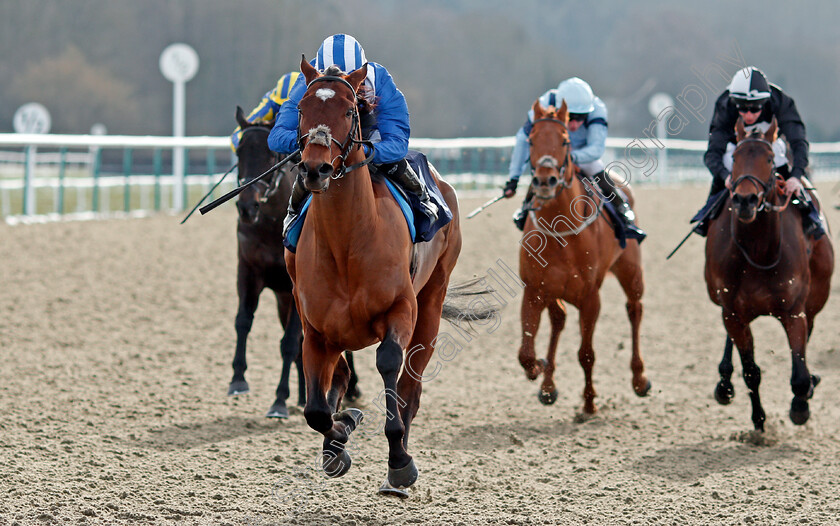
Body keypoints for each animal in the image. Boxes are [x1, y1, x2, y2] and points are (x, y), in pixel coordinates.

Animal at [230, 108, 360, 420]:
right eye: (239, 151)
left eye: (270, 154)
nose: (247, 207)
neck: (270, 224)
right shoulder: (248, 270)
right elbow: (243, 321)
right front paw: (238, 380)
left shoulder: (296, 286)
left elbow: (290, 343)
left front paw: (278, 400)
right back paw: (305, 392)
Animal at [286, 58, 486, 500]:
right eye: (303, 109)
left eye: (349, 111)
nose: (315, 169)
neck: (346, 242)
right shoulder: (316, 330)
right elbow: (316, 410)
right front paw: (340, 434)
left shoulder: (400, 308)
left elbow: (389, 362)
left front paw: (399, 461)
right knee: (341, 378)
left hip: (431, 301)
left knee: (412, 385)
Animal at [520, 101, 648, 418]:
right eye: (531, 140)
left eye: (565, 140)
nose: (545, 180)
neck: (559, 233)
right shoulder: (534, 290)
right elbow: (526, 354)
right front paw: (540, 370)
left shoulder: (591, 297)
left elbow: (586, 354)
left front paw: (589, 402)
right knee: (559, 320)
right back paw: (548, 385)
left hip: (631, 271)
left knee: (634, 310)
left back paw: (640, 378)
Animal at [708, 119, 832, 434]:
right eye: (735, 157)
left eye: (768, 159)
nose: (745, 200)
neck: (759, 253)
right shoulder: (732, 311)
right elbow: (751, 371)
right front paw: (759, 420)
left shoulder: (794, 311)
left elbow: (799, 374)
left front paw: (801, 405)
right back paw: (724, 383)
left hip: (815, 299)